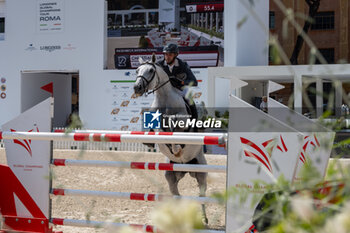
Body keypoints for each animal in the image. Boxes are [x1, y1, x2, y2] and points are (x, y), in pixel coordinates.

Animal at [133, 53, 206, 223]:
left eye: (151, 70)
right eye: (137, 70)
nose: (137, 88)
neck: (164, 98)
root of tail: (186, 168)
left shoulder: (183, 121)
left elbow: (173, 123)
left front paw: (176, 148)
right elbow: (157, 127)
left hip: (201, 173)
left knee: (202, 195)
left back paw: (204, 219)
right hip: (171, 175)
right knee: (176, 194)